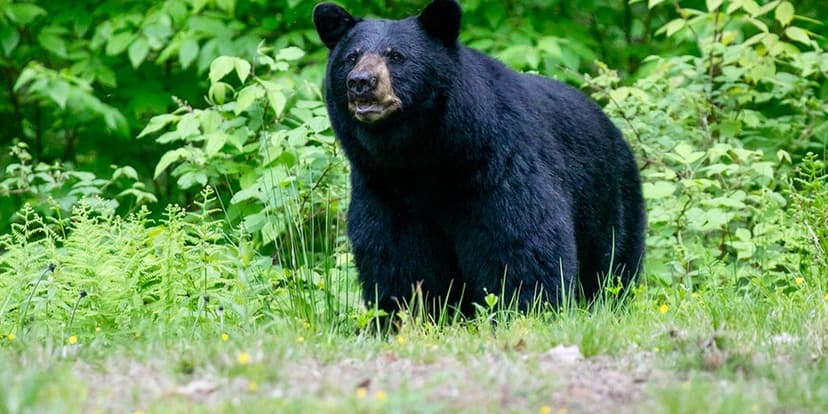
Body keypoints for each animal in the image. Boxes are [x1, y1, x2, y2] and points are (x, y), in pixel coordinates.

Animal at [313, 0, 645, 317]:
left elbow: (519, 242)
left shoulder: (499, 165)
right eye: (351, 57)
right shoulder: (384, 187)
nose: (361, 82)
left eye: (396, 56)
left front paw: (527, 311)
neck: (425, 158)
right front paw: (404, 316)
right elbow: (395, 255)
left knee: (613, 263)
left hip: (610, 197)